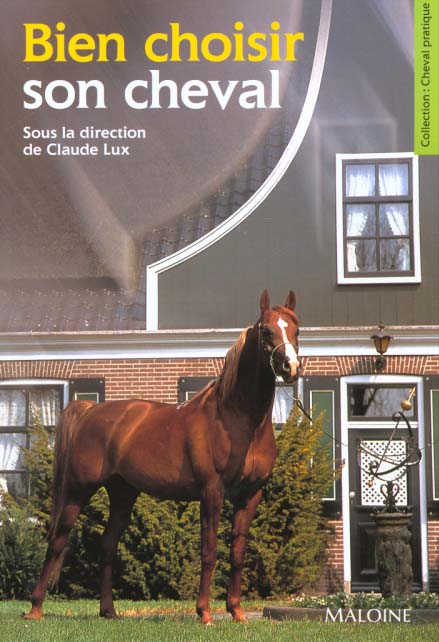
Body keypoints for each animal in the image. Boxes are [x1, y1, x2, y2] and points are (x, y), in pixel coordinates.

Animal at [25, 290, 301, 624]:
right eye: (266, 331)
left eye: (297, 330)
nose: (291, 367)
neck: (237, 419)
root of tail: (90, 410)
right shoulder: (212, 492)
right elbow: (209, 551)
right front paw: (204, 613)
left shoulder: (250, 495)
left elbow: (237, 553)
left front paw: (236, 612)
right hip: (79, 490)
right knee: (57, 540)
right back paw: (35, 608)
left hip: (123, 493)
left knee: (107, 546)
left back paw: (109, 611)